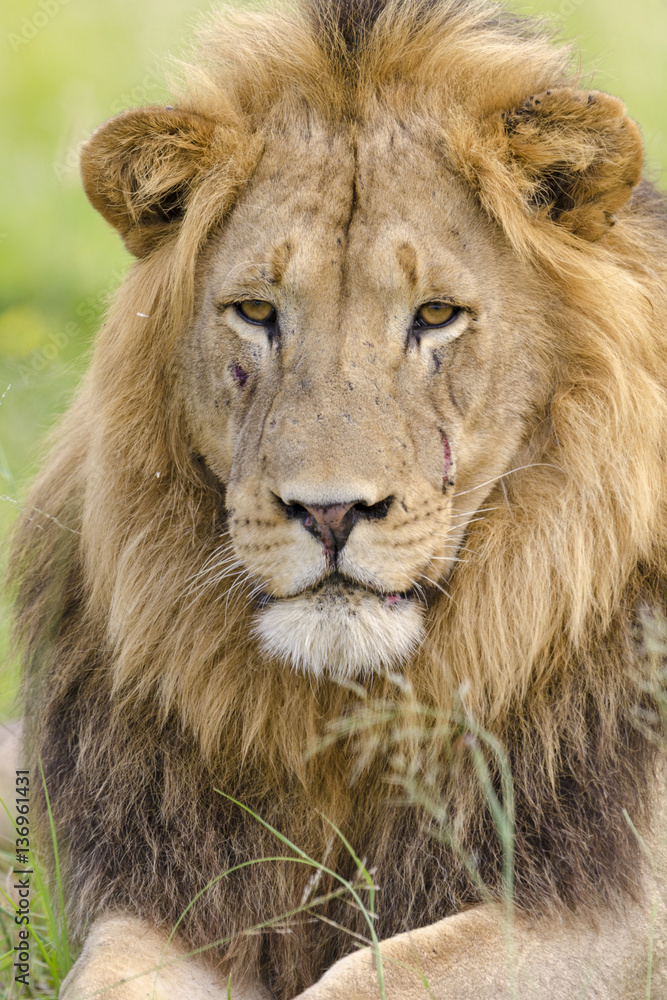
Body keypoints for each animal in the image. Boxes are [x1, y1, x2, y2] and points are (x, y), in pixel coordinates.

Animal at [9, 0, 667, 996]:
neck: (344, 716)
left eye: (435, 316)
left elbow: (376, 974)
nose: (327, 513)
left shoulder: (612, 908)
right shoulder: (178, 895)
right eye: (256, 311)